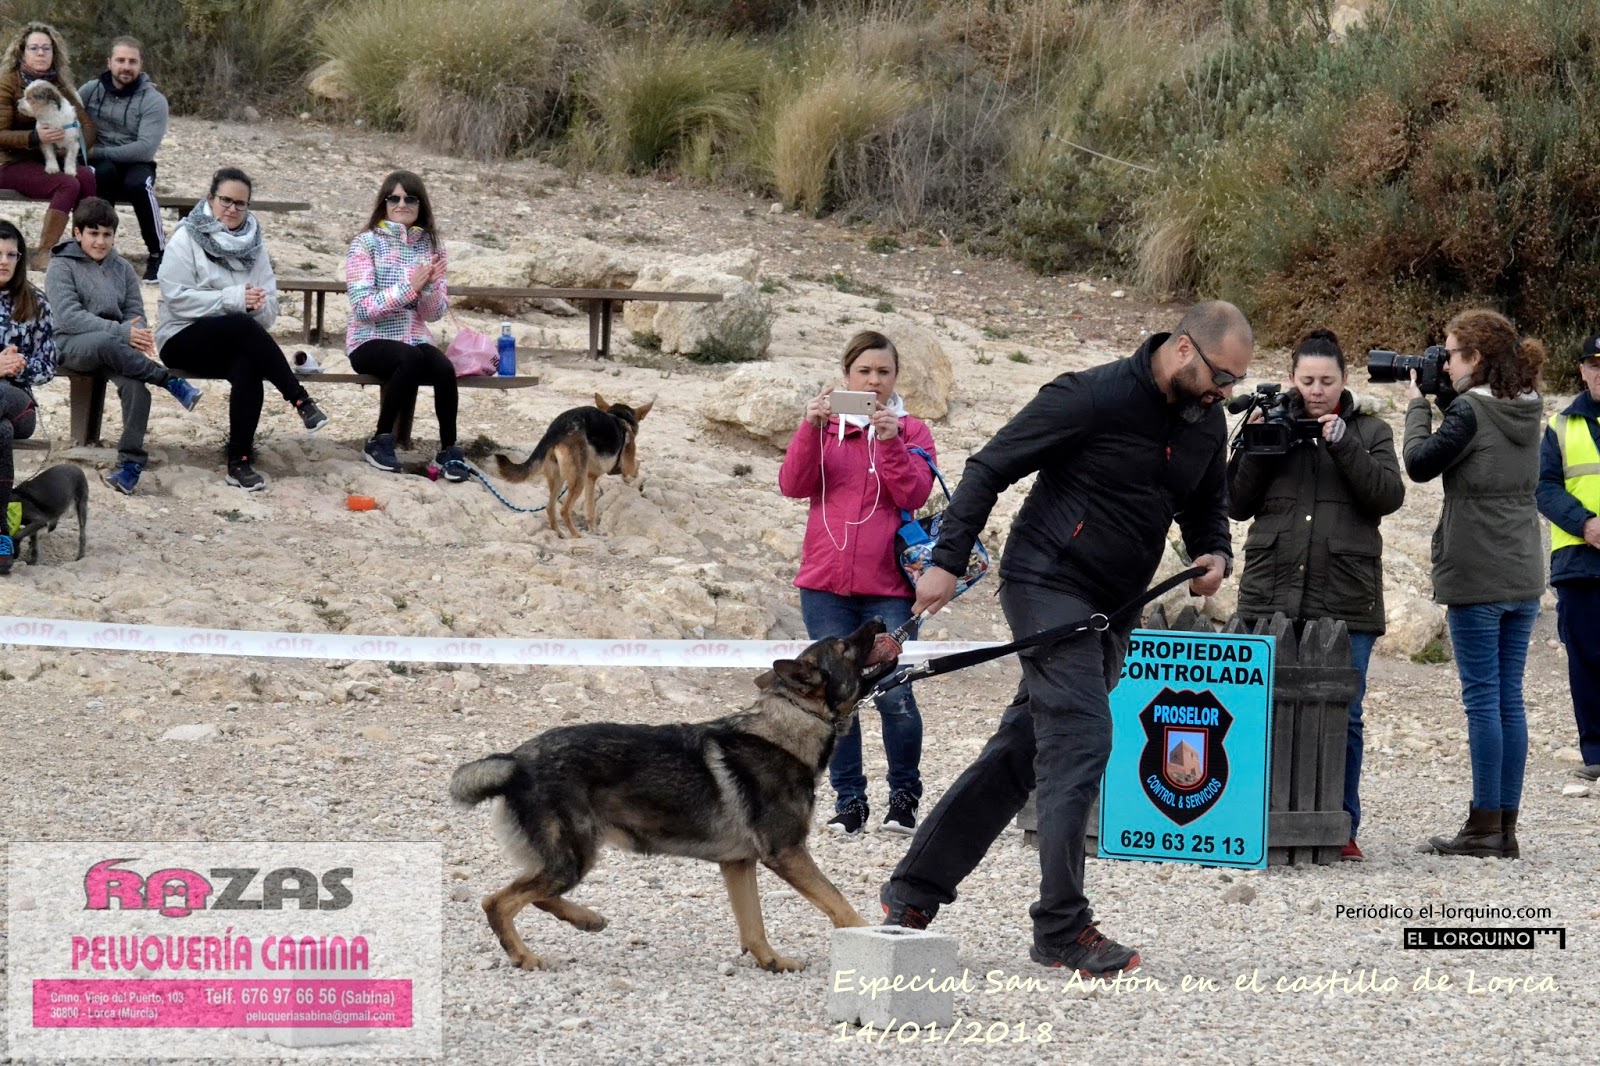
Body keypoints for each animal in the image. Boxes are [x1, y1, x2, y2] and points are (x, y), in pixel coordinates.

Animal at [450, 619, 901, 973]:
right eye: (844, 646)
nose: (880, 620)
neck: (788, 726)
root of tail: (515, 760)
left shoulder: (738, 865)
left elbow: (753, 924)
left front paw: (771, 960)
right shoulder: (787, 854)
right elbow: (837, 901)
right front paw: (868, 937)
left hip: (568, 860)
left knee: (537, 896)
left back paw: (586, 919)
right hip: (571, 859)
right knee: (498, 901)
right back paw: (524, 955)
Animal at [492, 393, 653, 539]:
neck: (620, 418)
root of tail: (557, 428)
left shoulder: (591, 478)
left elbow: (589, 509)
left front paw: (593, 528)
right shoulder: (626, 465)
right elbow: (636, 464)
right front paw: (635, 479)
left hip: (560, 478)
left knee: (550, 507)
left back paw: (559, 533)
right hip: (577, 481)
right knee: (563, 510)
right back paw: (576, 534)